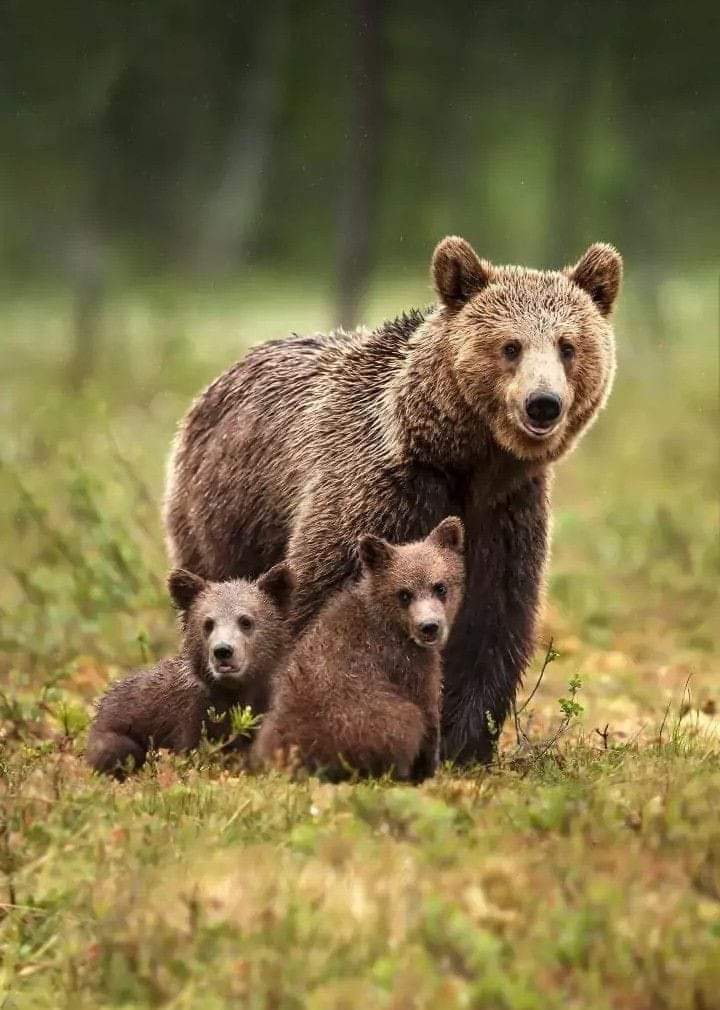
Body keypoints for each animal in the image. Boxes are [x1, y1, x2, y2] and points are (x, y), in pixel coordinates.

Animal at [253, 516, 465, 782]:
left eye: (440, 587)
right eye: (404, 594)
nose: (429, 627)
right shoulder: (407, 666)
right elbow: (428, 715)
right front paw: (429, 771)